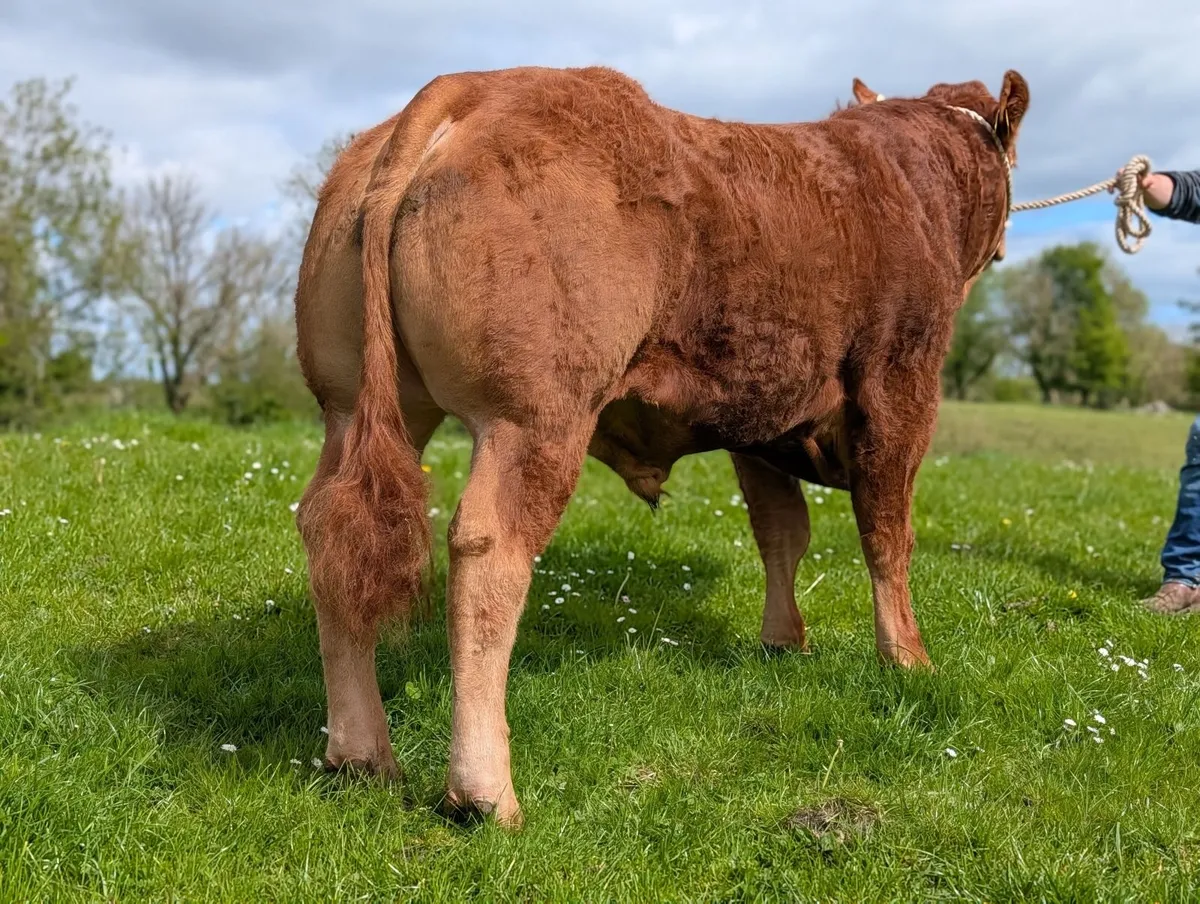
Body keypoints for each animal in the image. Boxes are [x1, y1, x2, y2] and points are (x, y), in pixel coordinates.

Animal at [293, 64, 1029, 827]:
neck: (908, 177)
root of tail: (468, 87)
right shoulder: (900, 381)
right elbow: (886, 532)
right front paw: (907, 658)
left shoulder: (760, 421)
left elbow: (781, 532)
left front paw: (783, 641)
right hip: (532, 415)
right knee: (487, 551)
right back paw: (485, 792)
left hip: (353, 406)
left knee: (333, 536)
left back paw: (360, 758)